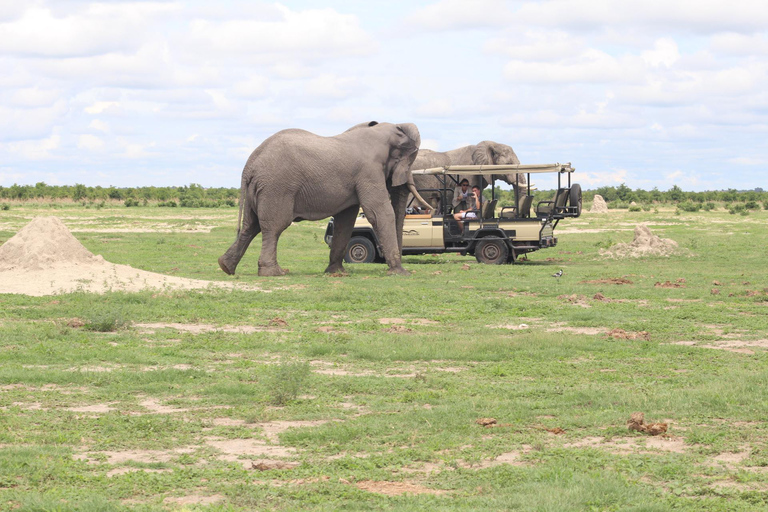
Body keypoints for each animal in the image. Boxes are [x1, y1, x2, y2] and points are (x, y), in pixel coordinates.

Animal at [218, 120, 432, 278]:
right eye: (408, 161)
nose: (399, 267)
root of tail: (249, 165)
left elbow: (346, 220)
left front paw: (337, 273)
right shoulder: (369, 171)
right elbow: (378, 212)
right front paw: (401, 273)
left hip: (259, 189)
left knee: (250, 226)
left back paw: (226, 267)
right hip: (276, 188)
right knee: (274, 226)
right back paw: (275, 273)